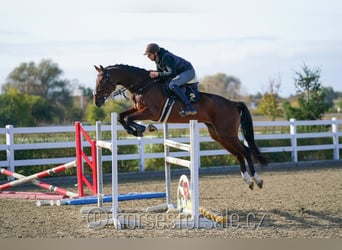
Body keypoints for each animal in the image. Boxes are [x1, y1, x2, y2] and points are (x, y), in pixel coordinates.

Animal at [93, 63, 268, 188]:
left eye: (102, 80)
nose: (96, 101)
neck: (142, 85)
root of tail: (233, 103)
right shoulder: (138, 109)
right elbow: (122, 117)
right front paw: (138, 130)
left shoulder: (151, 112)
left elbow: (129, 118)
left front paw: (142, 129)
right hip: (218, 135)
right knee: (238, 154)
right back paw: (248, 181)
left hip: (228, 134)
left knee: (245, 151)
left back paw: (257, 180)